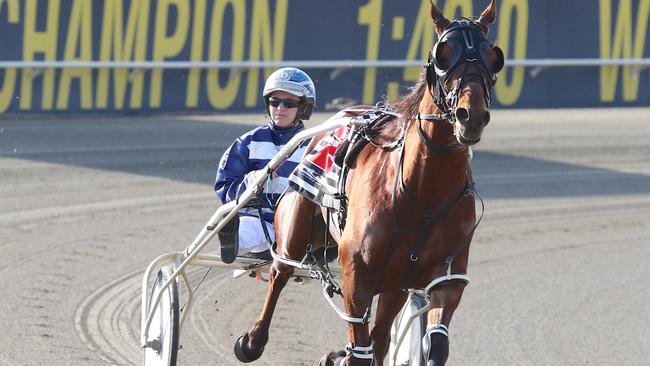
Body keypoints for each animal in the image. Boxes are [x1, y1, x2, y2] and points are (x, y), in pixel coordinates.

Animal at [232, 1, 502, 364]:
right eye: (442, 55)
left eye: (494, 56)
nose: (470, 116)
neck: (423, 196)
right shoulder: (356, 273)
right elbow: (359, 351)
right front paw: (339, 354)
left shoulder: (447, 276)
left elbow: (433, 346)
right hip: (294, 230)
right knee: (279, 272)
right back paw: (252, 341)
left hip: (394, 283)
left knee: (382, 335)